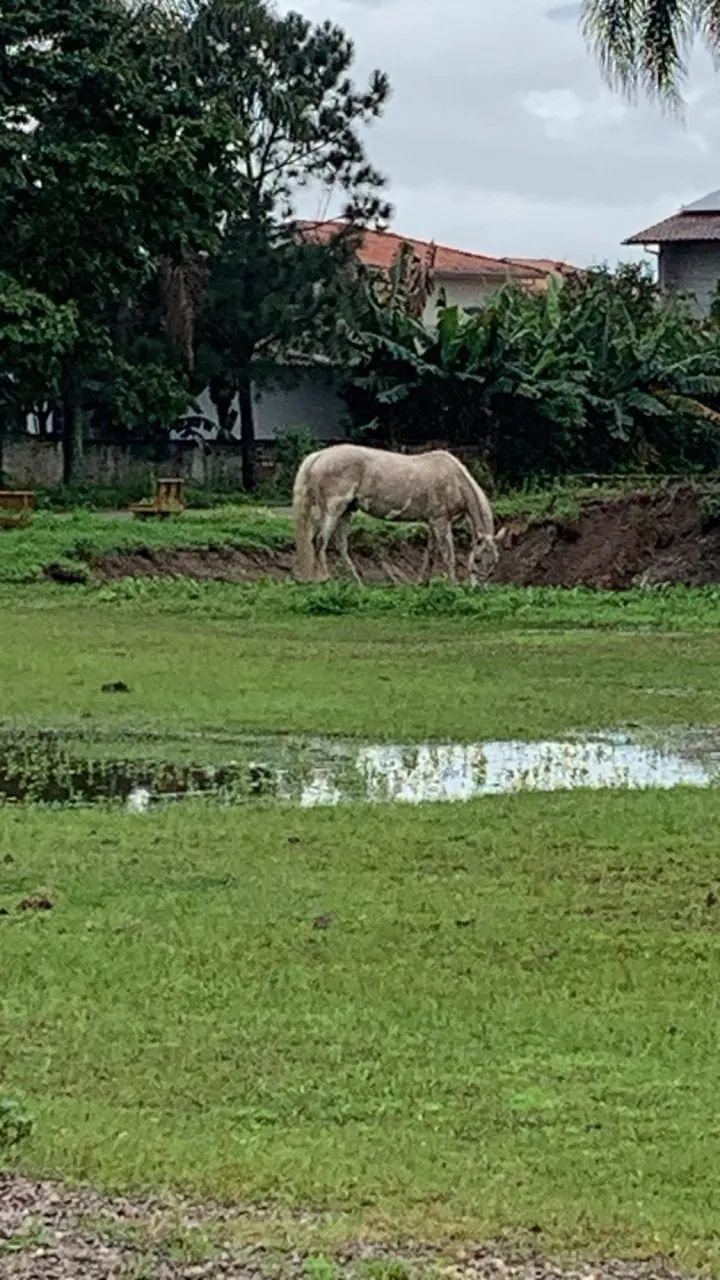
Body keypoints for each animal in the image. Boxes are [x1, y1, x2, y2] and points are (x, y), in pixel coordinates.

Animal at [293, 443, 504, 585]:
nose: (478, 589)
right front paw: (453, 586)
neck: (455, 480)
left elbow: (431, 553)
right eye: (477, 559)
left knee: (340, 546)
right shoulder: (441, 521)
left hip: (345, 512)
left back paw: (357, 584)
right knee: (320, 542)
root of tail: (319, 455)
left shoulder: (432, 523)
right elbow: (447, 555)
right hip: (333, 510)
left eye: (495, 561)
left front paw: (422, 582)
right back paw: (324, 578)